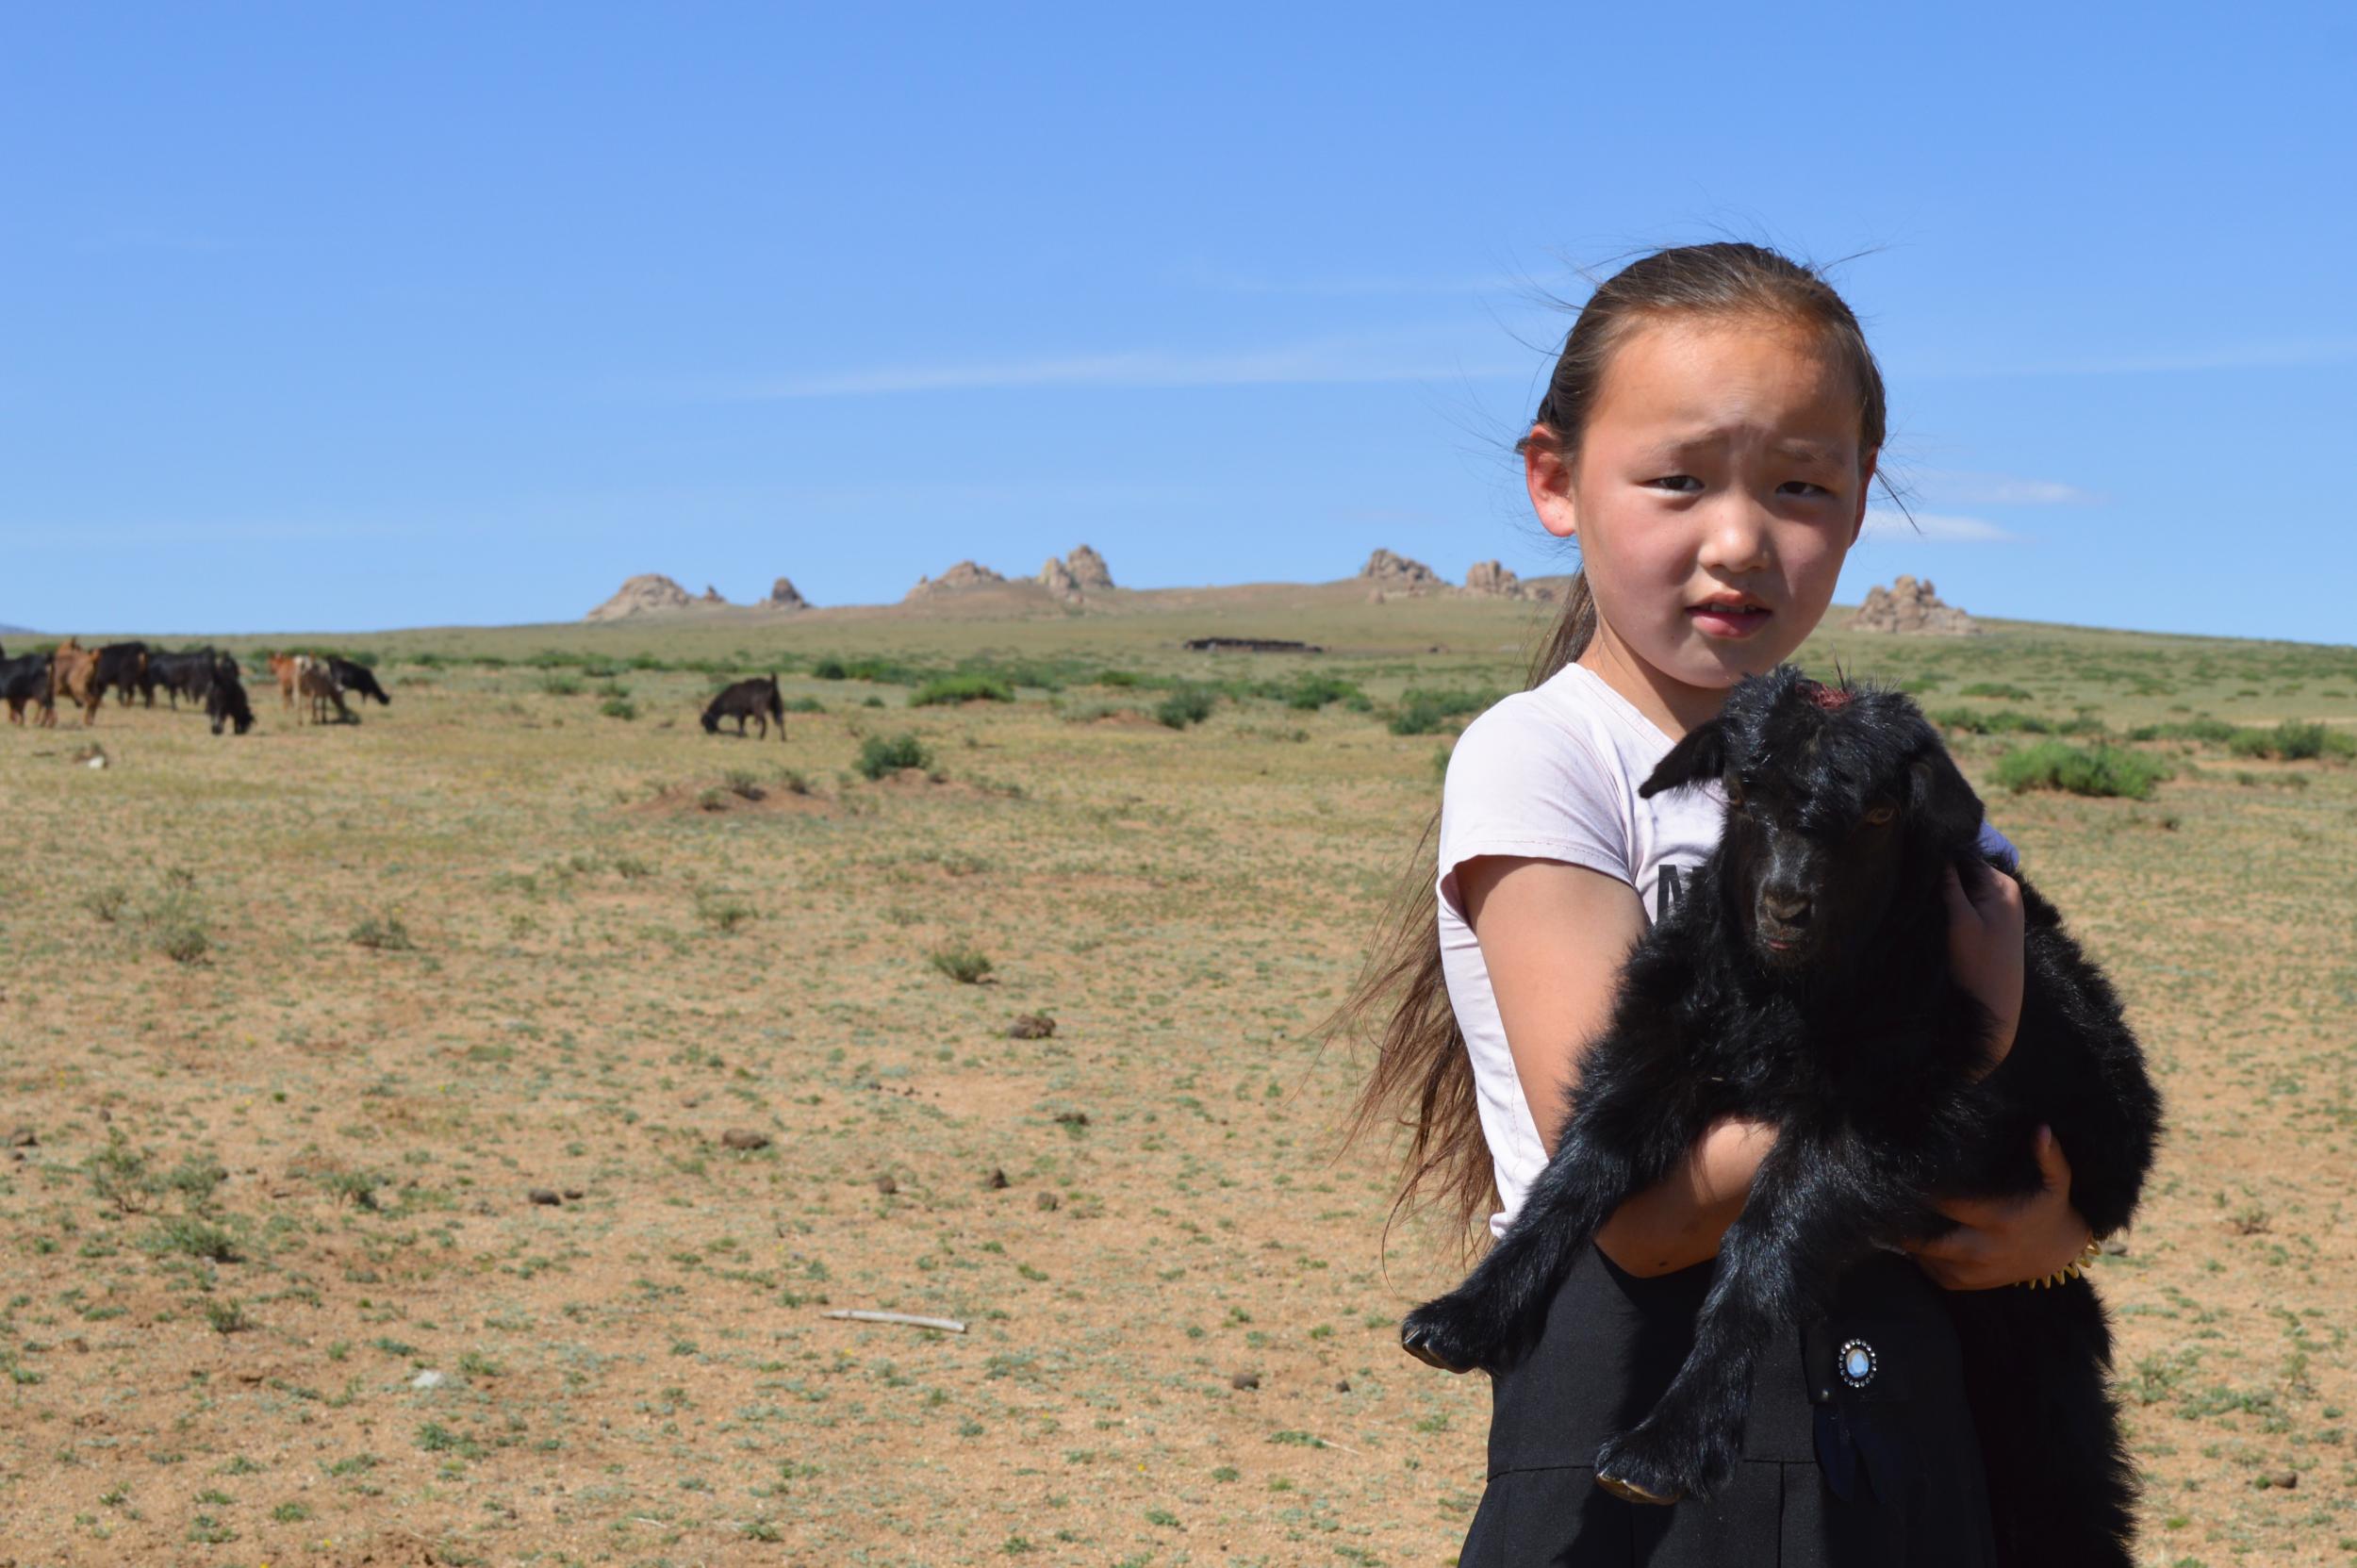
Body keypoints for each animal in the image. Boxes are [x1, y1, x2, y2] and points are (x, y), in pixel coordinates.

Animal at [1395, 665, 2159, 1565]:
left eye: (1881, 812)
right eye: (1742, 790)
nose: (1786, 905)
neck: (1782, 1001)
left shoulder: (1898, 1106)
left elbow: (1765, 1235)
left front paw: (1667, 1446)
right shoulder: (1666, 1043)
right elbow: (1586, 1160)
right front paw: (1466, 1315)